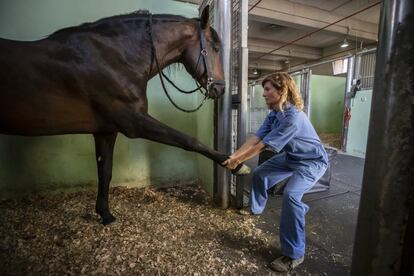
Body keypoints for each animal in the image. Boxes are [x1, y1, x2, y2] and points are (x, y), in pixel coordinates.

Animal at [0, 5, 249, 225]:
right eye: (215, 48)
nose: (220, 89)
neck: (114, 58)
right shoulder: (134, 122)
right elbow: (188, 140)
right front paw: (235, 164)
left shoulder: (106, 131)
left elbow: (105, 172)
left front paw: (105, 214)